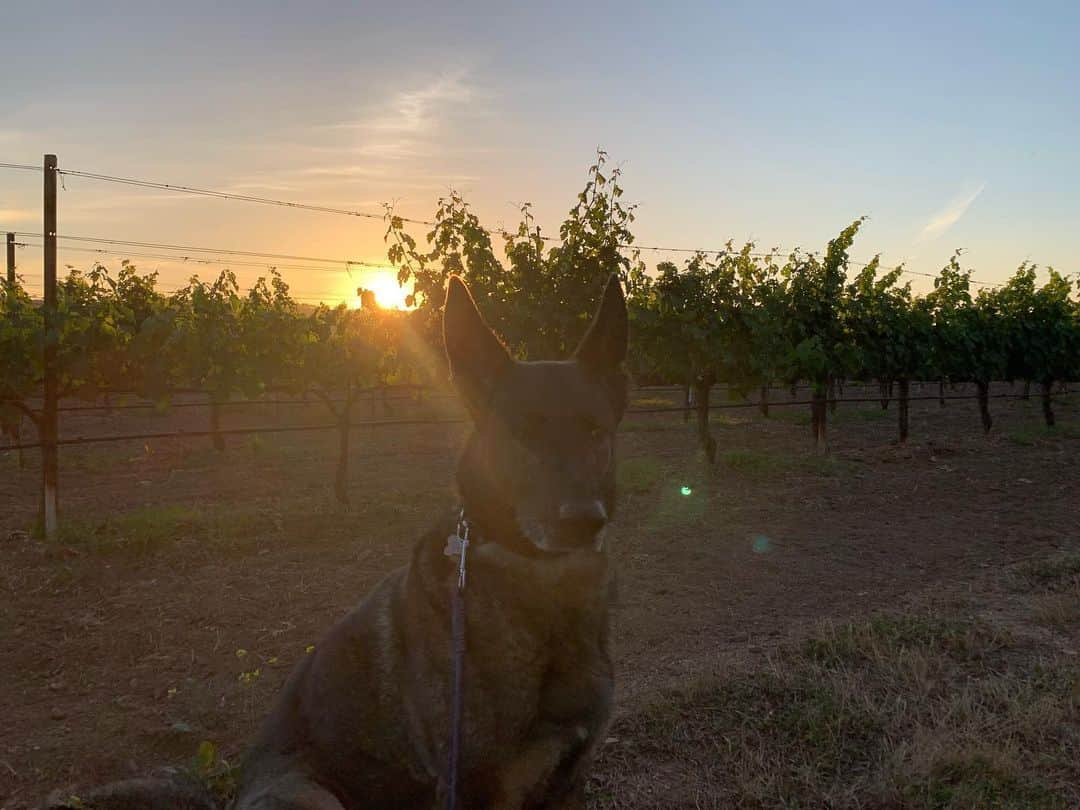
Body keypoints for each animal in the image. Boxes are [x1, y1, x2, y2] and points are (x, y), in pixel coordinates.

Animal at [54, 274, 630, 810]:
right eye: (520, 432)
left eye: (595, 432)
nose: (585, 521)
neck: (542, 591)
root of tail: (232, 796)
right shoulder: (471, 788)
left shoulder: (568, 784)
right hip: (313, 797)